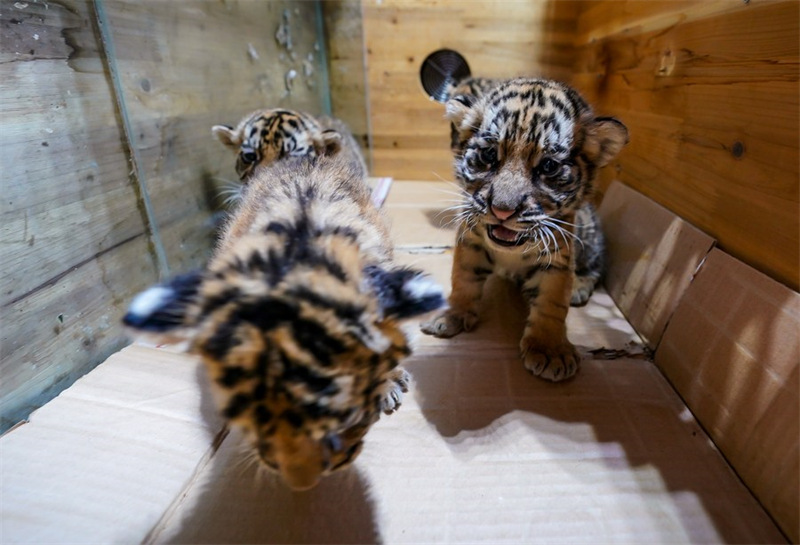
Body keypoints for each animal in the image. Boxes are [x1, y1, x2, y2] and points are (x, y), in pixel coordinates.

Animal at [421, 77, 628, 382]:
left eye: (548, 166)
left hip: (590, 242)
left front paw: (550, 351)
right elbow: (463, 279)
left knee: (594, 269)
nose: (502, 210)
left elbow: (552, 302)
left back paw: (579, 288)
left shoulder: (558, 257)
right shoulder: (470, 239)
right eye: (488, 154)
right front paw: (451, 315)